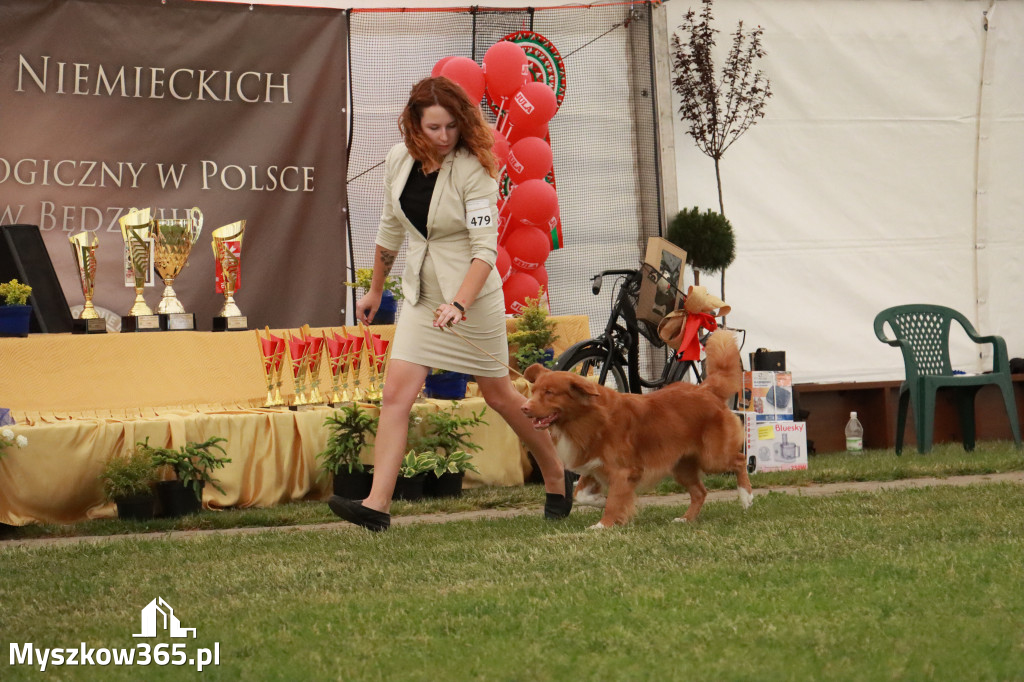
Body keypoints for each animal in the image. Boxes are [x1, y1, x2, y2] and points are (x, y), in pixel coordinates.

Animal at [520, 329, 753, 524]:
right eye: (534, 391)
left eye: (549, 393)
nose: (524, 408)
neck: (588, 417)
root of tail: (706, 390)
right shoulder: (594, 464)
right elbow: (581, 495)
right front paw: (601, 501)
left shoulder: (622, 470)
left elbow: (615, 500)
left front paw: (603, 525)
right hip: (681, 465)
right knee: (700, 492)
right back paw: (686, 519)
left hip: (713, 458)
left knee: (740, 461)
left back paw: (746, 496)